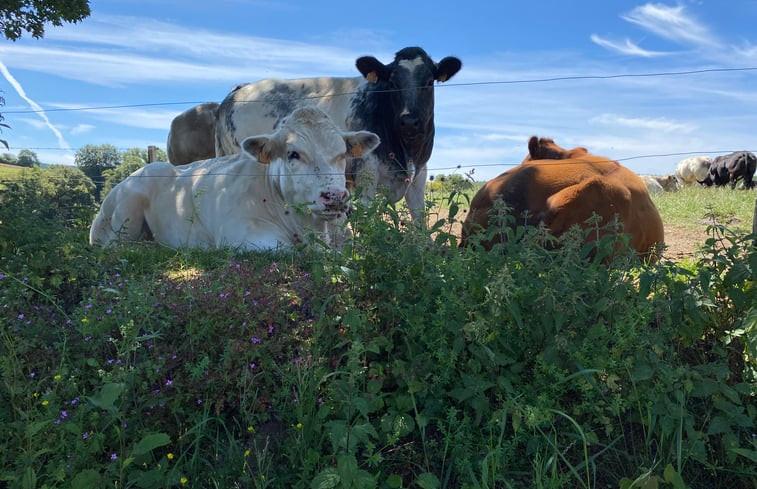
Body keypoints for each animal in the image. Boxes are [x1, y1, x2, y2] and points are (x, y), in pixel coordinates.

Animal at [214, 45, 460, 221]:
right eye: (392, 82)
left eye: (428, 82)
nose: (409, 121)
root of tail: (238, 91)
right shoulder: (366, 175)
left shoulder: (419, 174)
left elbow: (420, 224)